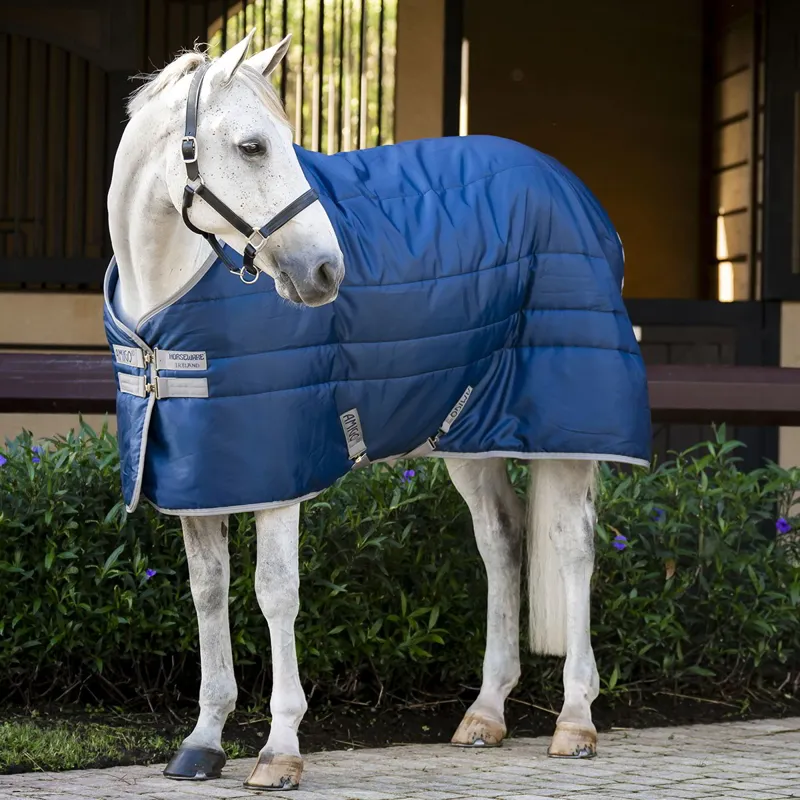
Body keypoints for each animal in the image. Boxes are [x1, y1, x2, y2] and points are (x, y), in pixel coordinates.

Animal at [105, 31, 650, 791]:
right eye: (251, 146)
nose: (325, 273)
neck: (166, 308)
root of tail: (573, 191)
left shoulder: (280, 474)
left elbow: (275, 592)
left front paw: (279, 751)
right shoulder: (201, 476)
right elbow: (208, 593)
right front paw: (203, 742)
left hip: (564, 429)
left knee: (573, 547)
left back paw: (575, 720)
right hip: (467, 434)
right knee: (501, 539)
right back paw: (485, 714)